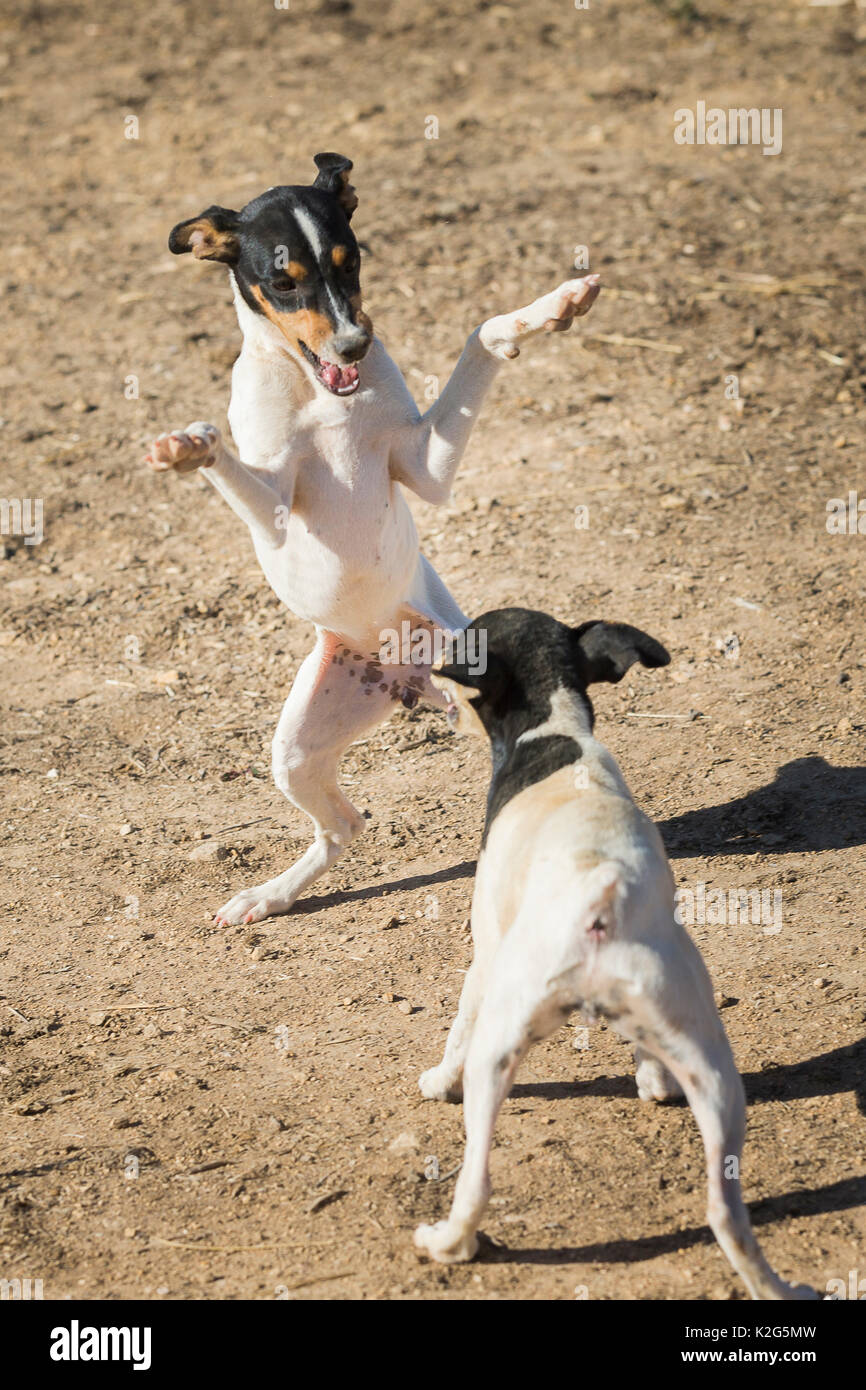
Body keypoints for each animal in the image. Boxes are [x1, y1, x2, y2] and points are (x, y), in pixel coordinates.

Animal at [143, 154, 603, 922]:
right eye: (284, 280)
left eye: (350, 262)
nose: (354, 344)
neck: (321, 395)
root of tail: (406, 672)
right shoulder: (272, 511)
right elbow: (228, 463)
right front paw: (188, 446)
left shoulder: (423, 469)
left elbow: (480, 336)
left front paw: (551, 308)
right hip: (297, 753)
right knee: (345, 827)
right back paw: (269, 896)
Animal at [417, 611, 817, 1301]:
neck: (556, 732)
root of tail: (600, 895)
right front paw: (650, 1081)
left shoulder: (484, 956)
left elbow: (456, 1030)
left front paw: (437, 1080)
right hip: (715, 1072)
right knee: (725, 1212)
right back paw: (775, 1285)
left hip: (499, 1044)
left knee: (477, 1177)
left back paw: (449, 1242)